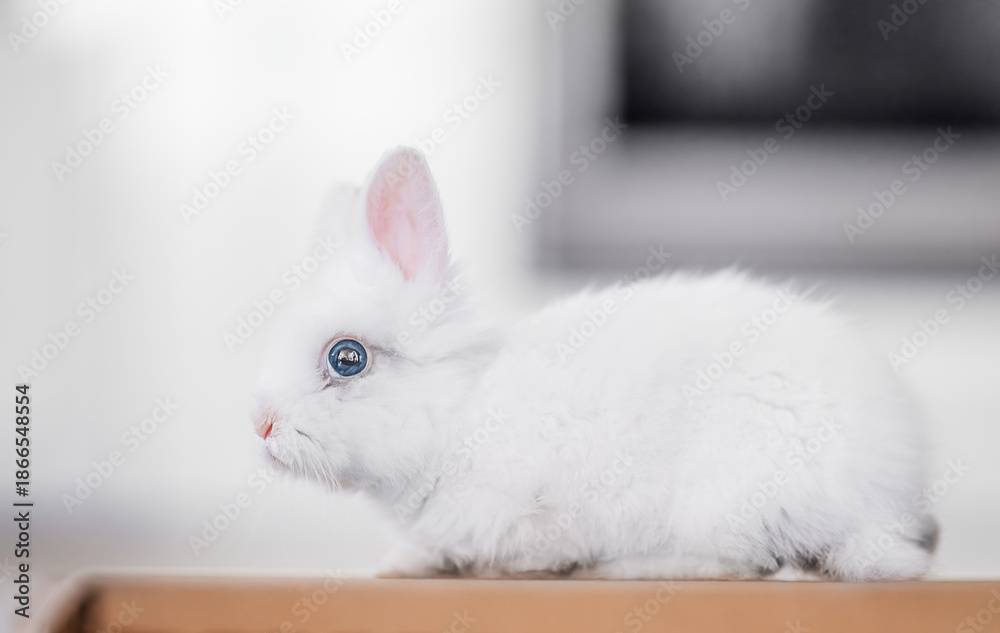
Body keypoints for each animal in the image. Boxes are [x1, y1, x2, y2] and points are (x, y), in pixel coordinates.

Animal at [251, 147, 938, 581]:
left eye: (347, 358)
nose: (261, 426)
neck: (457, 418)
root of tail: (883, 504)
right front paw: (403, 564)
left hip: (725, 495)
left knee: (746, 564)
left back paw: (632, 567)